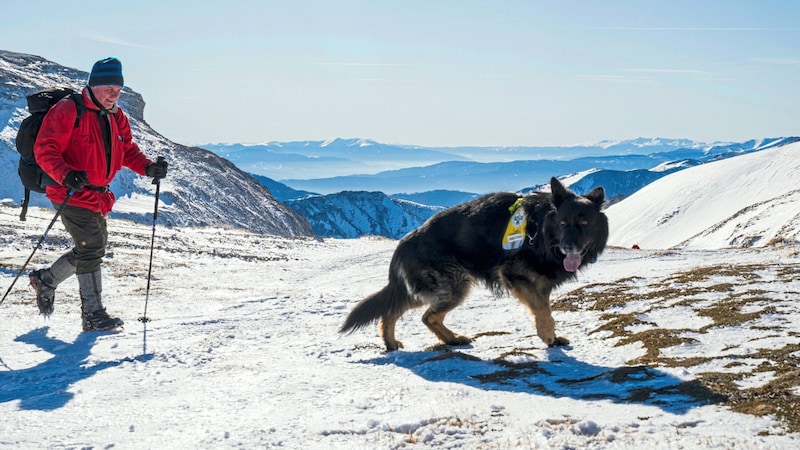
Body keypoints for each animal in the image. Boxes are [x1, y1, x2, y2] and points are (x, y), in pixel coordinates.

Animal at [338, 177, 608, 352]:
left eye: (583, 223)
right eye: (563, 223)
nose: (567, 247)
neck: (540, 230)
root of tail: (403, 245)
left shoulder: (539, 285)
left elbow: (545, 309)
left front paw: (551, 336)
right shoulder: (516, 277)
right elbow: (543, 311)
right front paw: (548, 336)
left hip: (434, 289)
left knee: (400, 311)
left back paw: (403, 342)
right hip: (453, 287)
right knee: (426, 316)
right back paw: (446, 339)